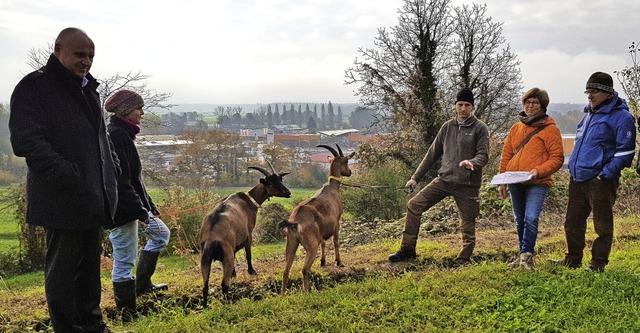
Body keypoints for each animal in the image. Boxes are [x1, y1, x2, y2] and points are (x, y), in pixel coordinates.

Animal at [199, 162, 292, 304]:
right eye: (270, 183)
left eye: (280, 180)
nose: (288, 192)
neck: (250, 200)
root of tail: (211, 237)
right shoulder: (248, 233)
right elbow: (248, 253)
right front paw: (251, 271)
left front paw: (234, 274)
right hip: (226, 256)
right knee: (224, 285)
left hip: (205, 258)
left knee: (205, 287)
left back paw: (205, 306)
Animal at [280, 143, 356, 294]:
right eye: (346, 161)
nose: (350, 172)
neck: (332, 188)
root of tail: (294, 222)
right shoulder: (337, 222)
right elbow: (335, 242)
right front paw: (339, 262)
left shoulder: (322, 231)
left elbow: (324, 242)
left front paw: (323, 262)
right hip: (311, 245)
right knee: (304, 270)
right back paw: (307, 292)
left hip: (291, 243)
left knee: (286, 271)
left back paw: (283, 294)